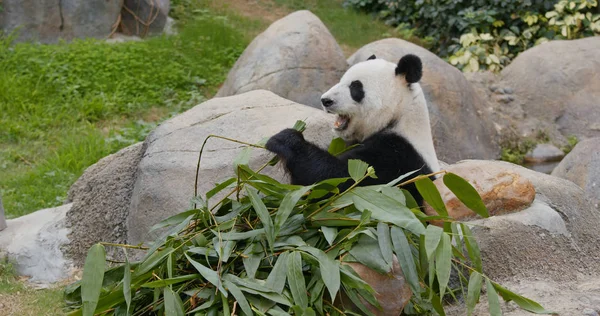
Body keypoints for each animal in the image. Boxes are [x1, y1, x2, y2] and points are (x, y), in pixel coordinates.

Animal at [264, 54, 438, 206]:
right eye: (341, 80)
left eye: (355, 87)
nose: (325, 100)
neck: (399, 116)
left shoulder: (398, 160)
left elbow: (342, 182)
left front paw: (286, 139)